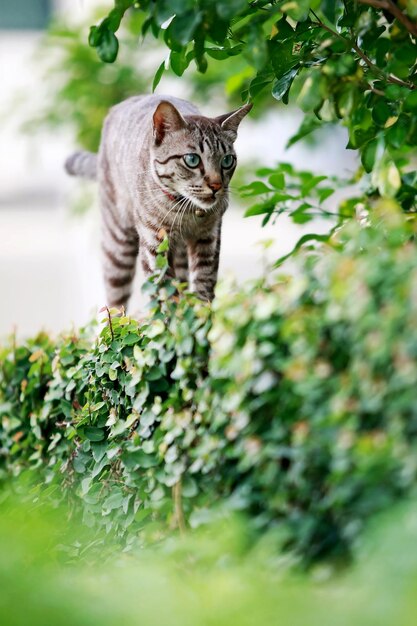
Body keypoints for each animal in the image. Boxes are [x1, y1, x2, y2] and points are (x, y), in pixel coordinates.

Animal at [66, 94, 250, 306]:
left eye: (227, 161)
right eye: (192, 160)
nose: (216, 186)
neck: (186, 211)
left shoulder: (209, 239)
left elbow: (203, 290)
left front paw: (202, 314)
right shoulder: (154, 245)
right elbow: (166, 297)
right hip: (118, 249)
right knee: (116, 303)